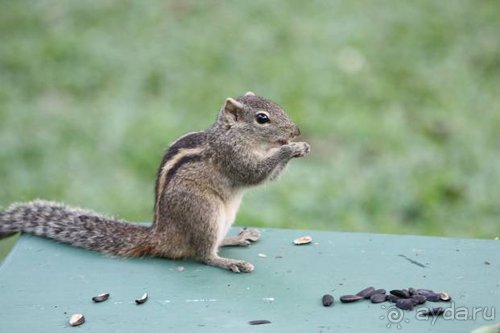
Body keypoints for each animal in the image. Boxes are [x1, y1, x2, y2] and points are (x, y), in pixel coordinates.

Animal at [0, 92, 310, 272]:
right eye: (262, 118)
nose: (295, 131)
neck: (231, 133)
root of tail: (161, 235)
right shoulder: (232, 156)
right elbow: (254, 173)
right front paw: (291, 149)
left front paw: (299, 146)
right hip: (204, 213)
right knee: (203, 255)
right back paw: (230, 262)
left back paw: (236, 238)